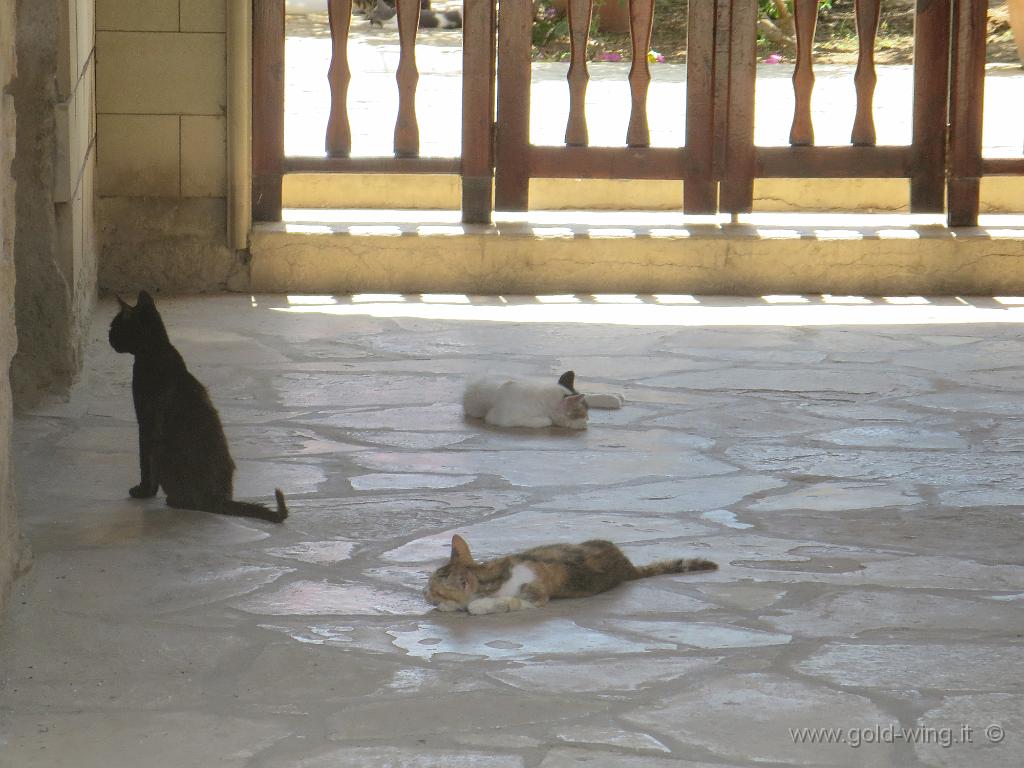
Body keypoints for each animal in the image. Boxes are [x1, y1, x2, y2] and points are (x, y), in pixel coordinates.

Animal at [108, 290, 288, 528]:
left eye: (115, 327)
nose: (108, 337)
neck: (156, 351)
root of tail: (221, 498)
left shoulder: (146, 423)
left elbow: (145, 462)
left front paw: (143, 492)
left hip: (164, 448)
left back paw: (173, 500)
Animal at [428, 536, 716, 614]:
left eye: (433, 589)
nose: (424, 593)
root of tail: (627, 566)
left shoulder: (535, 597)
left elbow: (502, 601)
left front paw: (476, 606)